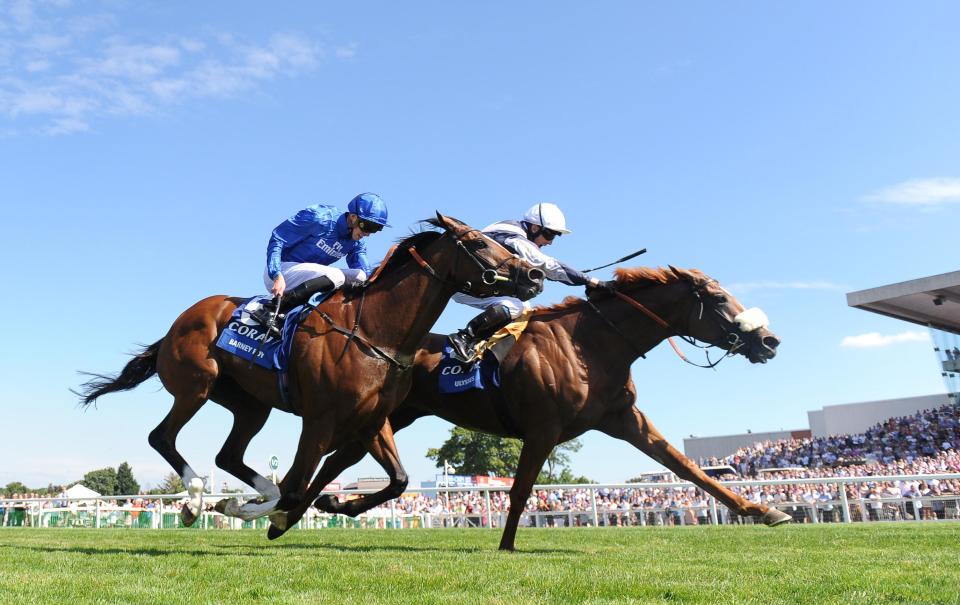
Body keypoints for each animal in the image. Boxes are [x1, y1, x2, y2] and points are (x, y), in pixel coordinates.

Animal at [79, 215, 544, 528]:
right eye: (480, 243)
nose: (534, 274)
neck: (376, 332)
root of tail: (180, 321)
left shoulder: (373, 419)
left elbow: (396, 480)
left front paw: (295, 506)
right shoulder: (320, 419)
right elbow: (294, 488)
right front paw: (250, 511)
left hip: (250, 405)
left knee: (227, 455)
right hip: (196, 385)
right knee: (162, 437)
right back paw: (195, 500)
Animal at [298, 264, 788, 548]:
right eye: (720, 299)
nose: (769, 341)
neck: (591, 343)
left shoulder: (625, 419)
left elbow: (686, 467)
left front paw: (763, 511)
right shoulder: (543, 427)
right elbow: (520, 490)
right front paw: (506, 545)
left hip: (388, 417)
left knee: (338, 461)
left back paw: (321, 503)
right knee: (333, 459)